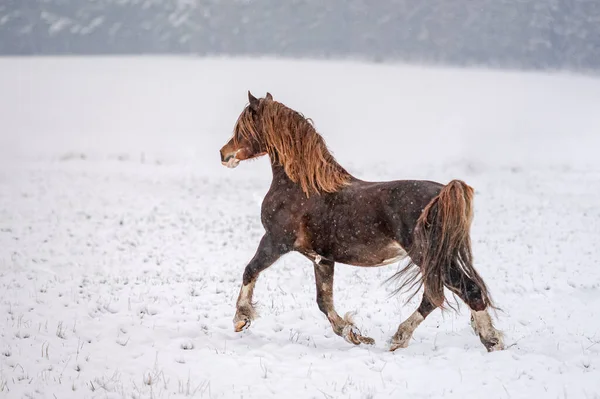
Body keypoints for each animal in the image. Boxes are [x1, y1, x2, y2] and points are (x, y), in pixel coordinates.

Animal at [218, 91, 504, 354]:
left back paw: (481, 341)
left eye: (243, 127)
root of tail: (443, 192)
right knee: (450, 293)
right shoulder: (322, 259)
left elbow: (250, 270)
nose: (224, 154)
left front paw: (240, 319)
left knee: (459, 292)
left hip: (425, 256)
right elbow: (324, 302)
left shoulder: (276, 241)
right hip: (437, 257)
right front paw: (355, 334)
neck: (301, 186)